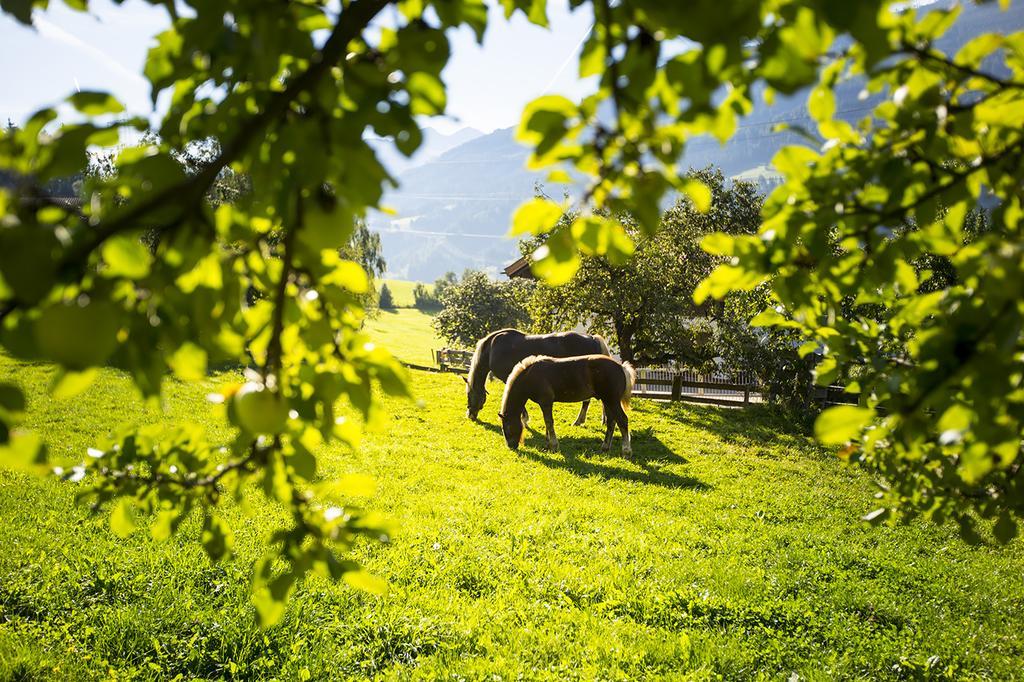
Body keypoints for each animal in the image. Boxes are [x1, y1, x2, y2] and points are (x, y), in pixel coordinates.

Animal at [462, 327, 610, 421]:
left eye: (469, 395)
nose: (470, 415)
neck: (492, 348)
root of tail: (592, 338)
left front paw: (524, 418)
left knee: (588, 401)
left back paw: (581, 420)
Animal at [495, 352, 630, 454]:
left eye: (507, 427)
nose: (511, 446)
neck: (529, 376)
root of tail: (621, 367)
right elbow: (547, 423)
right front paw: (548, 444)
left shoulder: (546, 402)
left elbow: (549, 422)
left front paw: (554, 445)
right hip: (607, 401)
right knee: (611, 422)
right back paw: (605, 447)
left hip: (611, 401)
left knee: (622, 420)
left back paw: (626, 451)